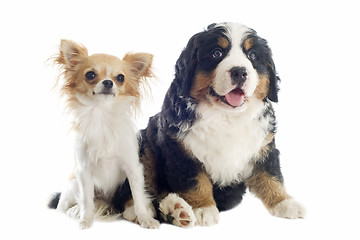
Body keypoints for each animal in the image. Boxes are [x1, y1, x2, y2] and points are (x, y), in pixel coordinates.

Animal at [114, 22, 306, 227]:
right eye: (216, 53)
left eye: (253, 56)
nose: (240, 72)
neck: (226, 117)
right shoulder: (181, 150)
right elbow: (196, 182)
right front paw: (203, 208)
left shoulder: (263, 146)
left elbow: (271, 175)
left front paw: (285, 202)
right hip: (144, 150)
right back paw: (148, 210)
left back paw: (175, 209)